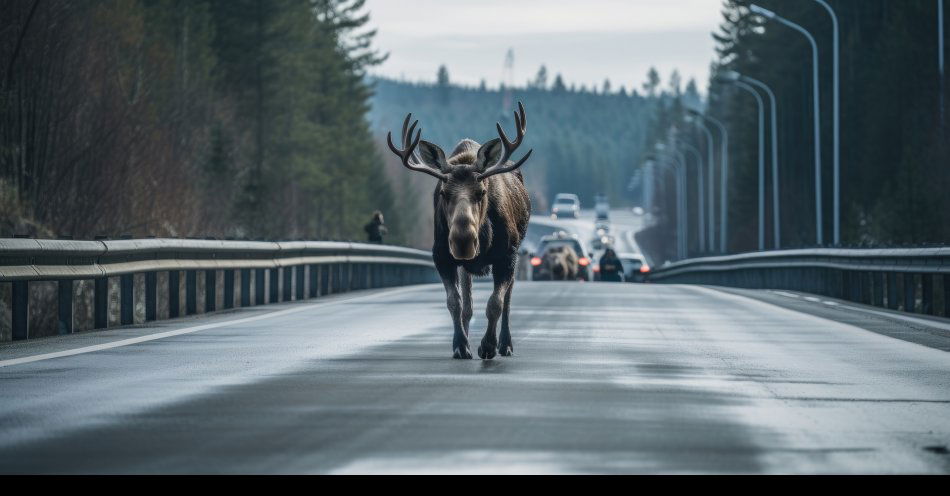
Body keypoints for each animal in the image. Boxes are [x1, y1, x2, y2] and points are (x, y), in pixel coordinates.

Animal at [388, 102, 536, 358]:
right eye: (443, 193)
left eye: (481, 191)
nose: (463, 241)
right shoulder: (441, 256)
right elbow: (454, 303)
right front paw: (460, 344)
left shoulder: (507, 256)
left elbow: (496, 304)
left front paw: (488, 345)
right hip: (466, 266)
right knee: (468, 302)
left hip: (516, 253)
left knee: (508, 299)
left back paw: (505, 344)